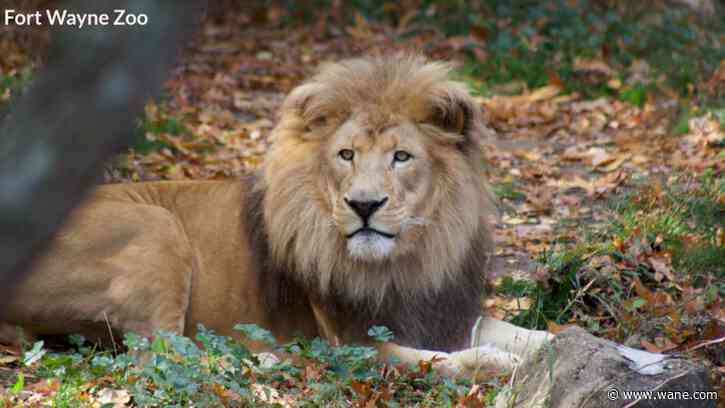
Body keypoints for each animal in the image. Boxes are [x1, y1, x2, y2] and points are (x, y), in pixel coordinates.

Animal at [0, 54, 551, 377]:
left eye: (401, 157)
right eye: (346, 155)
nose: (364, 205)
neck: (410, 258)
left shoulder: (442, 310)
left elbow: (523, 333)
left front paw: (548, 346)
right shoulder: (352, 341)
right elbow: (438, 361)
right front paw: (494, 363)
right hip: (157, 229)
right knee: (159, 354)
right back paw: (261, 357)